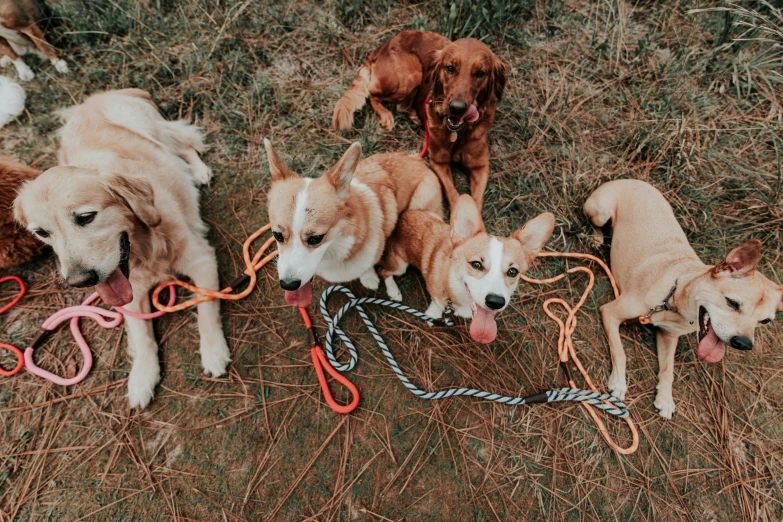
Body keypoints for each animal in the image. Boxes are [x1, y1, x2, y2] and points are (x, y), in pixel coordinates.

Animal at [14, 88, 230, 406]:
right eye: (41, 232)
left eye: (86, 217)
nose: (79, 281)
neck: (146, 248)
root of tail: (95, 97)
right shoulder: (131, 293)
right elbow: (142, 337)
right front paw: (142, 377)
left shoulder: (201, 258)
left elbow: (206, 306)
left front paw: (213, 351)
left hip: (149, 127)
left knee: (184, 144)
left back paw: (199, 171)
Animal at [266, 140, 444, 306]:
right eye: (277, 235)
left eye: (316, 238)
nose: (288, 285)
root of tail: (417, 159)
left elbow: (367, 267)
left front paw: (369, 277)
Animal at [332, 30, 508, 213]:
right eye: (450, 68)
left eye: (480, 73)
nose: (457, 108)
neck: (458, 133)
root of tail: (383, 45)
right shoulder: (438, 162)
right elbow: (452, 193)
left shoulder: (480, 166)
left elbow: (477, 201)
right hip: (411, 76)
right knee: (373, 94)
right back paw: (386, 114)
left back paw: (414, 115)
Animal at [378, 193, 552, 344]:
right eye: (476, 264)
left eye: (512, 272)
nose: (495, 302)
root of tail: (402, 215)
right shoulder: (436, 294)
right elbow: (436, 305)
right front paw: (432, 316)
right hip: (400, 265)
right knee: (384, 271)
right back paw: (393, 290)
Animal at [584, 179, 780, 418]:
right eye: (733, 303)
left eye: (765, 321)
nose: (743, 344)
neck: (675, 299)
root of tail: (632, 180)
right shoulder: (610, 312)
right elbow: (620, 352)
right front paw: (620, 382)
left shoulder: (668, 336)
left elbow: (668, 370)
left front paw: (665, 399)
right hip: (600, 211)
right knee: (596, 224)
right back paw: (596, 238)